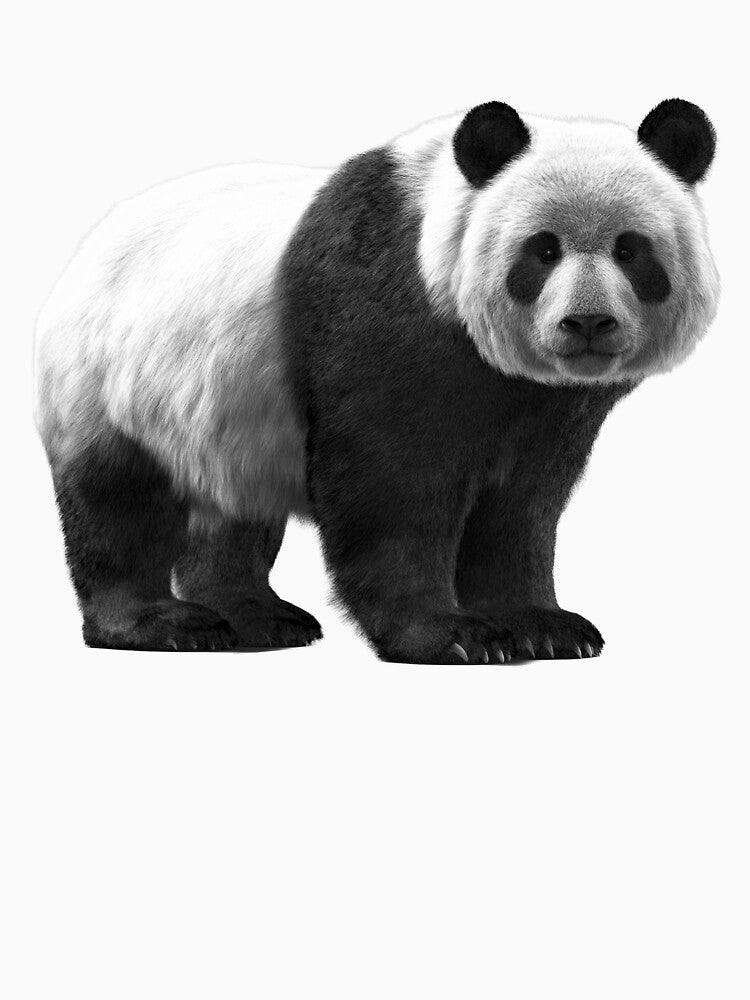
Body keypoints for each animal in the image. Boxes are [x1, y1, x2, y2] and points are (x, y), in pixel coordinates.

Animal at [34, 99, 719, 663]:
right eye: (543, 250)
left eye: (630, 250)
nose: (587, 323)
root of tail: (86, 250)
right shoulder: (386, 312)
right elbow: (392, 484)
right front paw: (448, 635)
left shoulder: (552, 405)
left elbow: (522, 502)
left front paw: (544, 627)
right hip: (110, 376)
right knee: (118, 501)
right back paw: (161, 623)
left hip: (224, 409)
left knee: (234, 505)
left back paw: (255, 617)